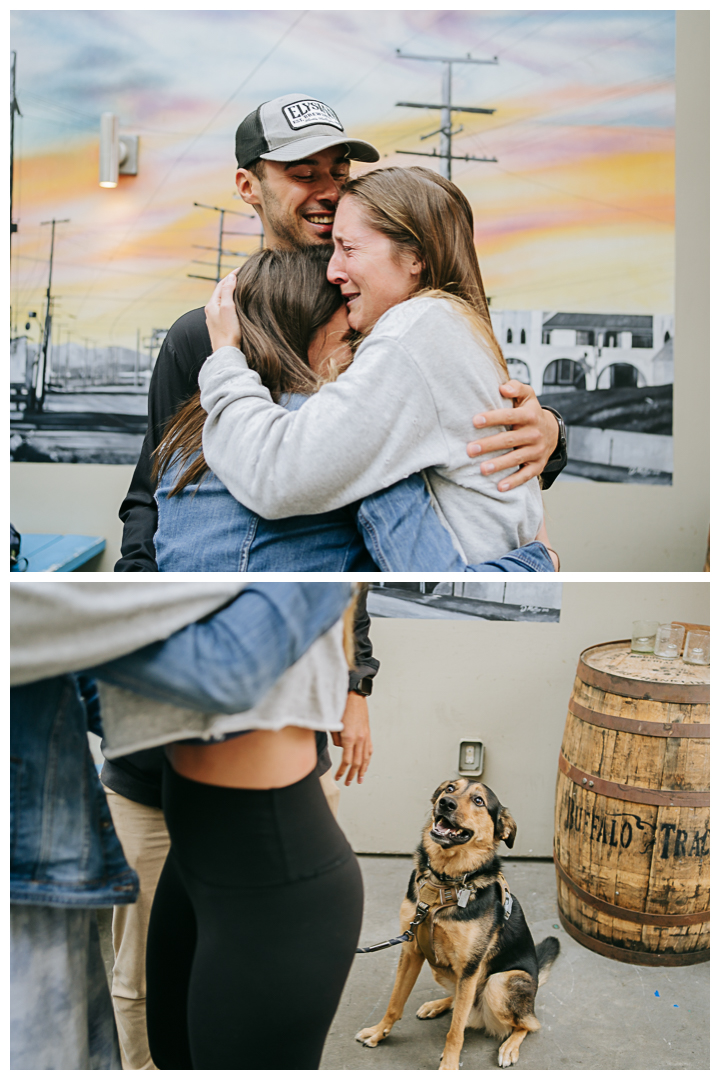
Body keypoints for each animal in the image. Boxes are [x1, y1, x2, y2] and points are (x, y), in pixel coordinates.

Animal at [358, 777, 561, 1071]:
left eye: (479, 801)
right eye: (450, 788)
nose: (445, 803)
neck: (444, 881)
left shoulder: (470, 967)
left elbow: (455, 1031)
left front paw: (449, 1065)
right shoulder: (412, 951)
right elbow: (395, 1001)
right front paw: (378, 1032)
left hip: (500, 983)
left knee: (527, 1024)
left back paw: (510, 1046)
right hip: (440, 968)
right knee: (460, 1003)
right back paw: (438, 1004)